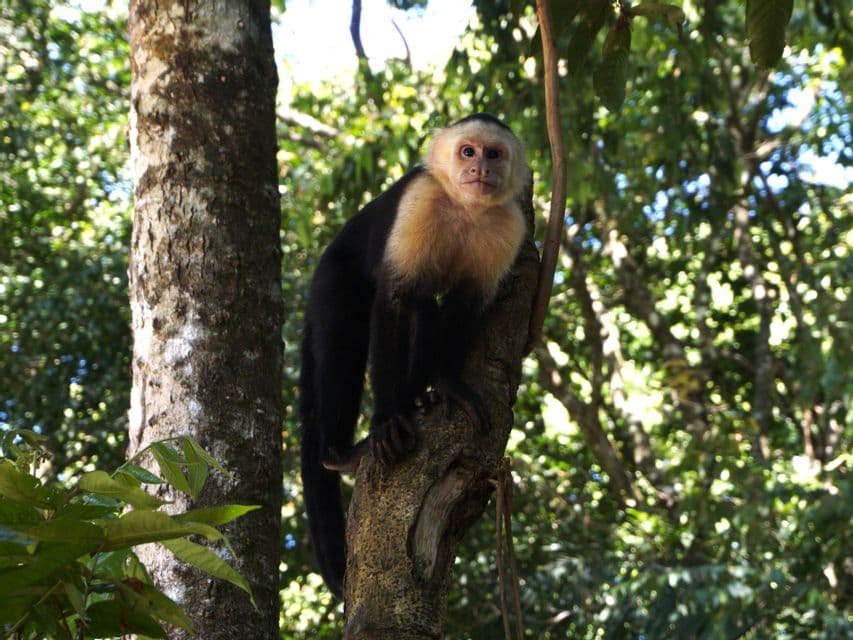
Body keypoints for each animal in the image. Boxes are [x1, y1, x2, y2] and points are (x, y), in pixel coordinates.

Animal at [299, 113, 529, 598]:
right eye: (467, 151)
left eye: (494, 154)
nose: (480, 168)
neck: (465, 206)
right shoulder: (421, 200)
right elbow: (394, 298)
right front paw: (387, 420)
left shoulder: (509, 227)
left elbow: (466, 304)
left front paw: (447, 384)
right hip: (332, 275)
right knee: (344, 342)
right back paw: (339, 451)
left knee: (426, 310)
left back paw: (420, 395)